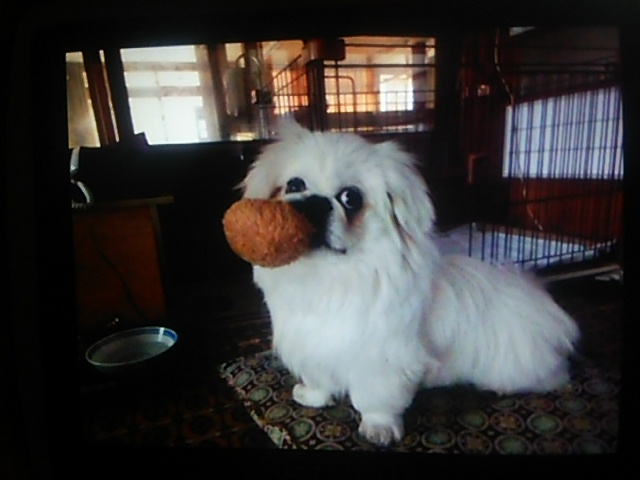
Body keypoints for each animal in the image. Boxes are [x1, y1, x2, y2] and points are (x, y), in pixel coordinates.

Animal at [240, 121, 580, 446]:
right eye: (295, 185)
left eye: (351, 198)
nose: (314, 203)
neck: (331, 278)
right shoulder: (312, 346)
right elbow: (320, 378)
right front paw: (313, 397)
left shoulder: (381, 358)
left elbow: (374, 397)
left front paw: (378, 428)